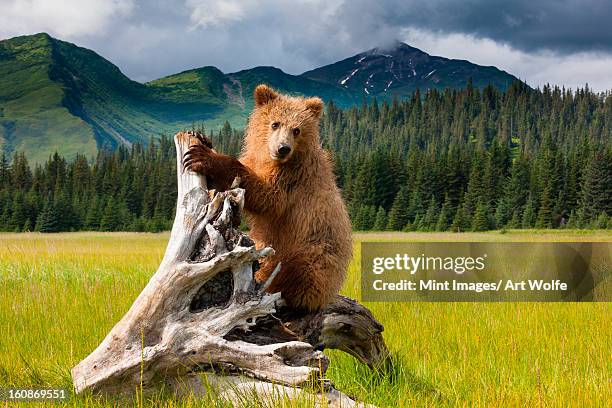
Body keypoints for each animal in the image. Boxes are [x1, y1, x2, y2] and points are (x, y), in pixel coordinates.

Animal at [184, 84, 352, 310]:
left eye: (297, 129)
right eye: (275, 123)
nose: (283, 148)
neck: (271, 159)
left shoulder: (292, 178)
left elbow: (268, 197)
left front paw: (204, 156)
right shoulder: (257, 160)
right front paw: (201, 138)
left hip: (314, 251)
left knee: (300, 272)